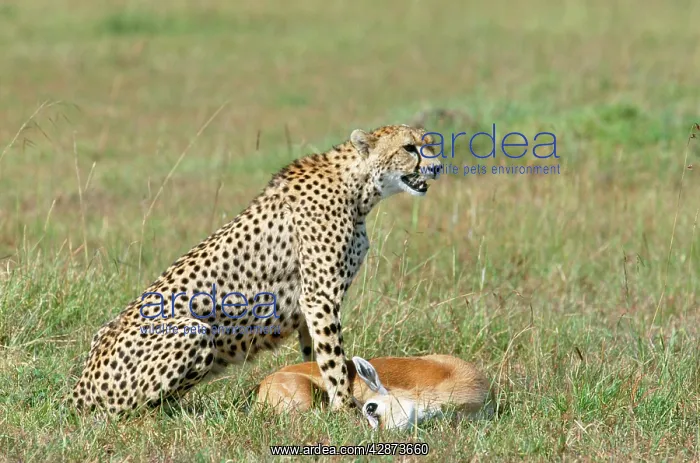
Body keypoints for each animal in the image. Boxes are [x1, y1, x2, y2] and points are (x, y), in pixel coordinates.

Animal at [71, 124, 442, 414]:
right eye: (409, 148)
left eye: (429, 144)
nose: (437, 167)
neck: (359, 186)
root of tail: (77, 391)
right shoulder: (320, 296)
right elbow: (334, 359)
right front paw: (347, 412)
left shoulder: (308, 302)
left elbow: (316, 355)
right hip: (194, 330)